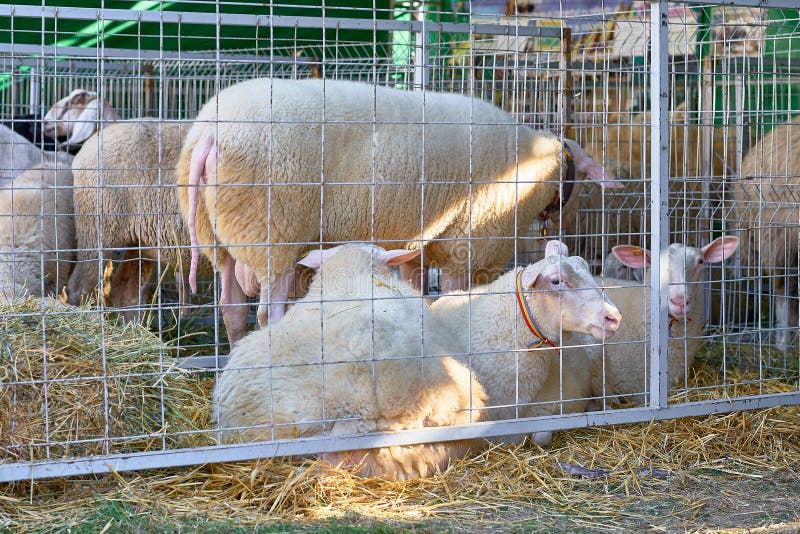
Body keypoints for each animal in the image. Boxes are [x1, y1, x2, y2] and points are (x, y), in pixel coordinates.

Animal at [177, 77, 620, 345]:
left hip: (223, 235)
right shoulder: (468, 243)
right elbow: (455, 297)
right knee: (268, 314)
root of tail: (210, 133)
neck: (536, 168)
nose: (571, 224)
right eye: (581, 182)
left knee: (231, 309)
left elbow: (420, 295)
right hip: (274, 232)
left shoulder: (417, 244)